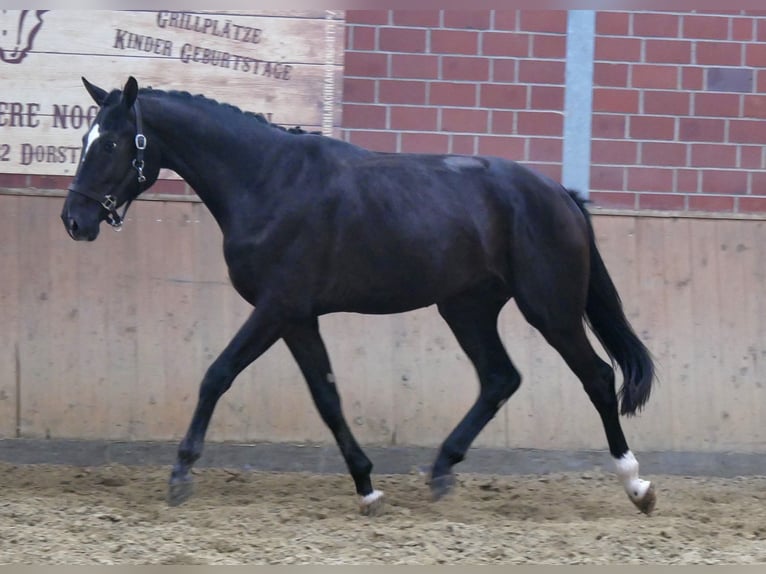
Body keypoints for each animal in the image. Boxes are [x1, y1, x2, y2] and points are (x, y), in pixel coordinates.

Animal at [61, 75, 660, 516]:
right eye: (86, 140)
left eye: (110, 142)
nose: (75, 220)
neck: (268, 181)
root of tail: (559, 193)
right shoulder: (298, 318)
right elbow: (327, 398)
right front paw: (367, 487)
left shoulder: (277, 307)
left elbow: (217, 374)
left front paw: (181, 474)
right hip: (466, 308)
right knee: (499, 378)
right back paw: (441, 471)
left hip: (550, 310)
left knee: (596, 377)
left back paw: (636, 484)